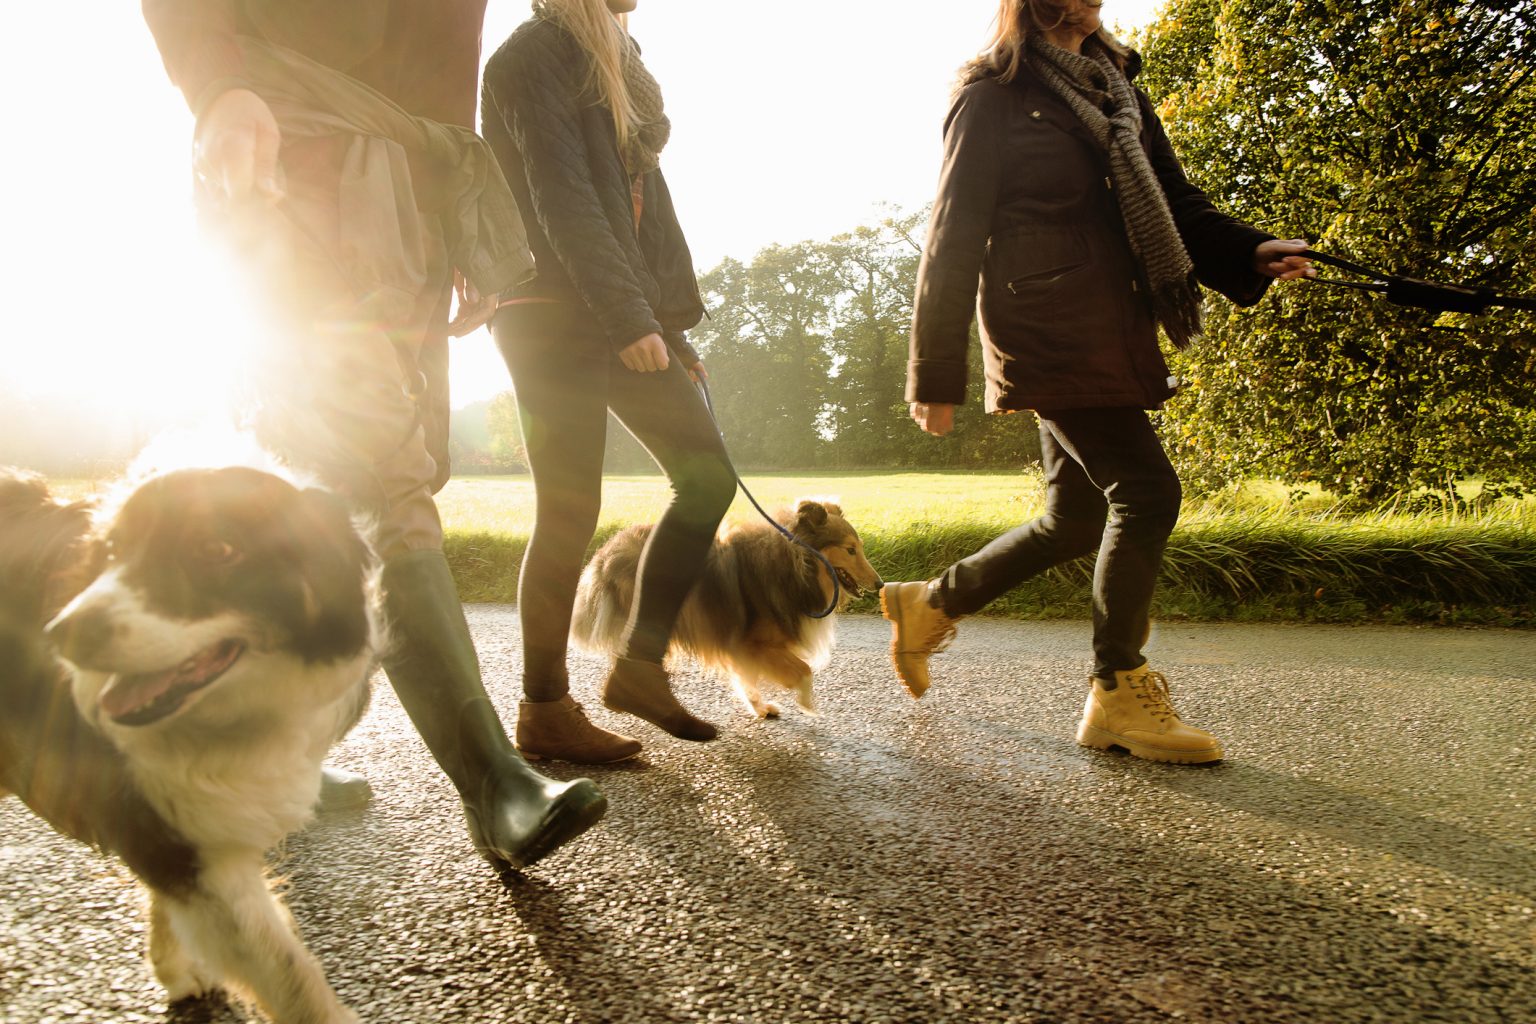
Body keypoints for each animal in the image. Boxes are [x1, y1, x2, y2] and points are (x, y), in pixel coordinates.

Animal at [0, 466, 380, 1024]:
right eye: (113, 550)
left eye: (216, 549)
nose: (61, 634)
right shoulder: (175, 835)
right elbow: (289, 973)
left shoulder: (186, 820)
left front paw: (171, 967)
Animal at [571, 503, 884, 721]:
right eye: (850, 550)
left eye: (859, 547)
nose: (881, 584)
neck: (796, 565)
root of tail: (606, 552)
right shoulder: (751, 644)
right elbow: (804, 671)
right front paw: (808, 705)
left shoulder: (743, 646)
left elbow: (747, 679)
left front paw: (760, 707)